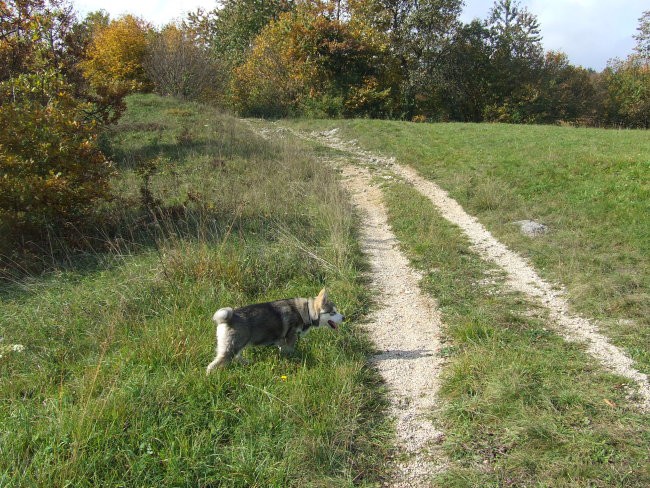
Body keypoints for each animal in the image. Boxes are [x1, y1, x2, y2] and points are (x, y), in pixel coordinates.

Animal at [206, 288, 344, 372]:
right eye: (332, 312)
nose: (344, 317)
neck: (307, 312)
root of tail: (229, 317)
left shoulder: (282, 342)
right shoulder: (290, 339)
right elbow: (290, 352)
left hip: (236, 345)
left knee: (236, 356)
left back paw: (246, 362)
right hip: (232, 348)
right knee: (212, 365)